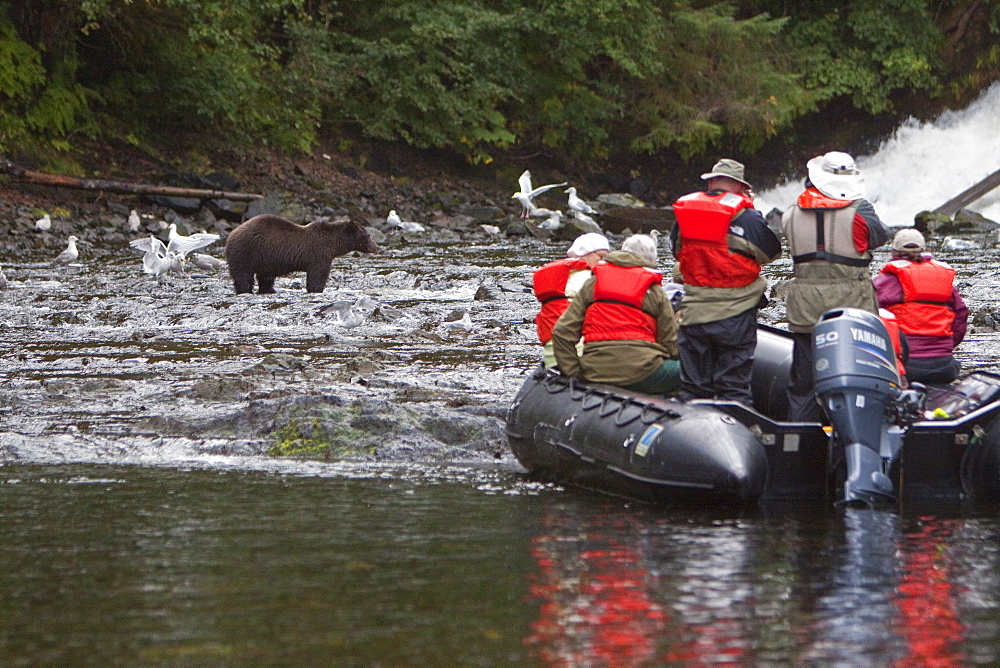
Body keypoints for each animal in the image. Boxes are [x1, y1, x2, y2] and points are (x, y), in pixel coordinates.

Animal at [226, 215, 378, 294]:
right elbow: (317, 275)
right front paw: (316, 289)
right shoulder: (319, 253)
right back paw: (245, 290)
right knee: (243, 275)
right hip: (246, 252)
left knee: (266, 278)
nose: (377, 247)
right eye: (367, 235)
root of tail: (231, 234)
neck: (333, 244)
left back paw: (269, 290)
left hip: (264, 260)